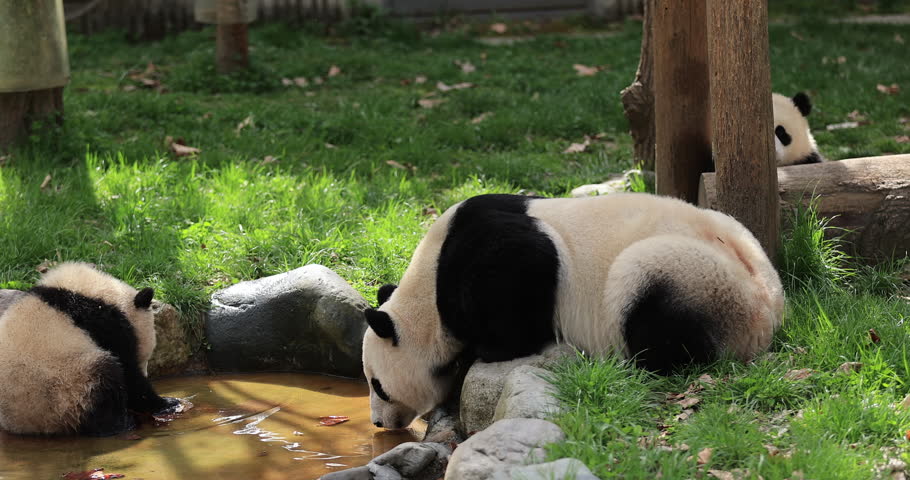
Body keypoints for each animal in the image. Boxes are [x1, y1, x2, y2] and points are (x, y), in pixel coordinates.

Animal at [0, 262, 180, 436]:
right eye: (145, 358)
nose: (147, 372)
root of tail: (32, 427)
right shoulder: (106, 325)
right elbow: (129, 372)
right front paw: (167, 403)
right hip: (70, 387)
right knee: (106, 379)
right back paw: (122, 424)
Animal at [362, 193, 784, 429]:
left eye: (377, 385)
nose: (379, 422)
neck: (428, 288)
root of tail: (768, 318)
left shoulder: (494, 263)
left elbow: (521, 299)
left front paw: (479, 353)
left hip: (698, 278)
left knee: (648, 302)